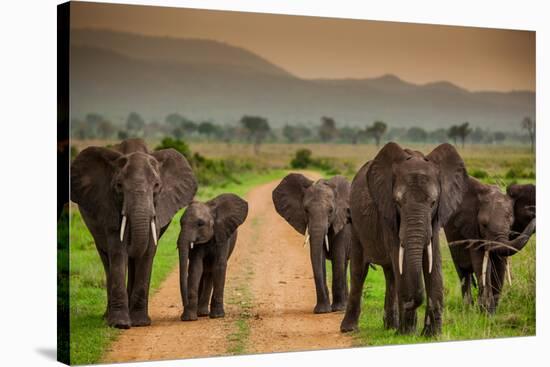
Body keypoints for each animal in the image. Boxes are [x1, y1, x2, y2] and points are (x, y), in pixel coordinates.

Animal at [70, 139, 197, 330]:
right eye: (119, 186)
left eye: (157, 186)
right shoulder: (108, 205)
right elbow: (118, 250)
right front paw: (120, 324)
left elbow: (148, 252)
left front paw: (140, 322)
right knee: (106, 258)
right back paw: (107, 317)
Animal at [272, 175, 354, 314]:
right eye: (306, 210)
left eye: (331, 211)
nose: (322, 310)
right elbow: (319, 257)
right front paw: (322, 311)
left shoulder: (341, 222)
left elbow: (337, 257)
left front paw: (337, 309)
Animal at [340, 143, 470, 336]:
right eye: (398, 203)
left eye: (433, 202)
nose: (410, 301)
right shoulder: (389, 215)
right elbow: (402, 264)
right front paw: (408, 333)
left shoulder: (435, 219)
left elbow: (434, 262)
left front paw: (432, 335)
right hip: (356, 224)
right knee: (359, 270)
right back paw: (350, 329)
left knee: (390, 274)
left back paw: (390, 327)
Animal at [448, 180, 540, 312]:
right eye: (484, 225)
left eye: (511, 224)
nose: (533, 214)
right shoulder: (472, 230)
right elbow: (482, 264)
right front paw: (485, 312)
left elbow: (499, 265)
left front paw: (490, 312)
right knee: (463, 273)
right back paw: (468, 310)